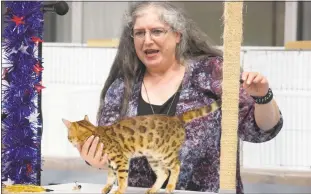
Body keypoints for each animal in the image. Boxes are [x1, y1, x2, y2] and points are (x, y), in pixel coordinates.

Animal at [62, 101, 221, 193]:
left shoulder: (120, 159)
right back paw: (153, 189)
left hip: (166, 154)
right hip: (153, 157)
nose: (68, 140)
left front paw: (119, 190)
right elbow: (110, 177)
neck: (94, 132)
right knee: (164, 172)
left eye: (68, 136)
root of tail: (176, 118)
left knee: (176, 166)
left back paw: (170, 187)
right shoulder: (110, 162)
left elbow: (121, 177)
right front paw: (107, 188)